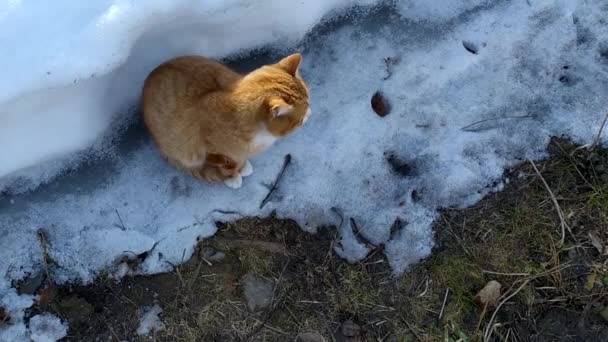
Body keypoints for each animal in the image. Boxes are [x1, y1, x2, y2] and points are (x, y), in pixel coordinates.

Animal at [141, 52, 308, 188]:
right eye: (299, 121)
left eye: (308, 101)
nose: (310, 113)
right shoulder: (212, 149)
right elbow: (227, 164)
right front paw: (233, 176)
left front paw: (242, 166)